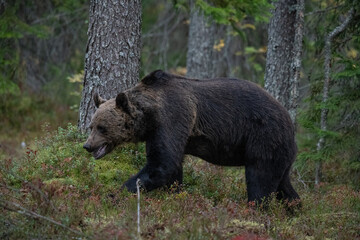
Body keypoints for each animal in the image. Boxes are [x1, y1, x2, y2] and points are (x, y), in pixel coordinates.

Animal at [83, 70, 300, 203]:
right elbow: (172, 167)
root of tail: (289, 120)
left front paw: (115, 193)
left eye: (102, 128)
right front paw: (174, 194)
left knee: (260, 178)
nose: (87, 145)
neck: (150, 114)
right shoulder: (164, 131)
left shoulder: (173, 117)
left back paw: (256, 207)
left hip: (264, 136)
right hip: (281, 151)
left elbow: (161, 165)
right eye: (91, 126)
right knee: (283, 184)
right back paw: (295, 207)